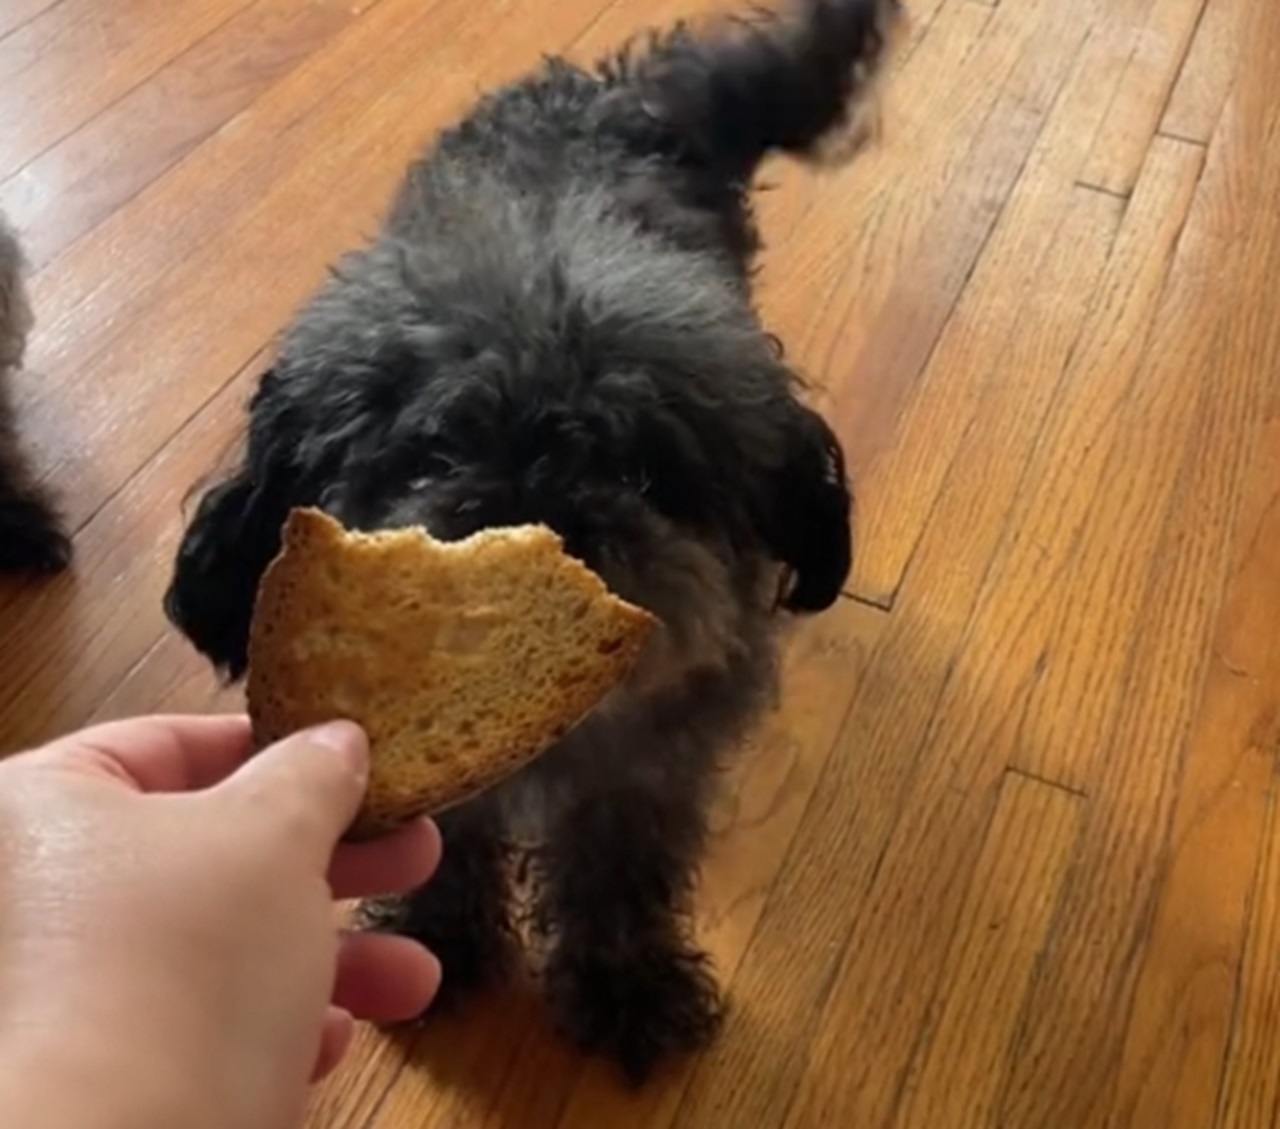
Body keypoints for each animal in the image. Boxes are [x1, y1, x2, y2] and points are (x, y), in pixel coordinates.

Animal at [165, 0, 906, 1080]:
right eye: (436, 443)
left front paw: (623, 980)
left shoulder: (648, 763)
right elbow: (448, 839)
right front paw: (437, 935)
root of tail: (618, 90)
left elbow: (619, 864)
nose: (541, 506)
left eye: (640, 465)